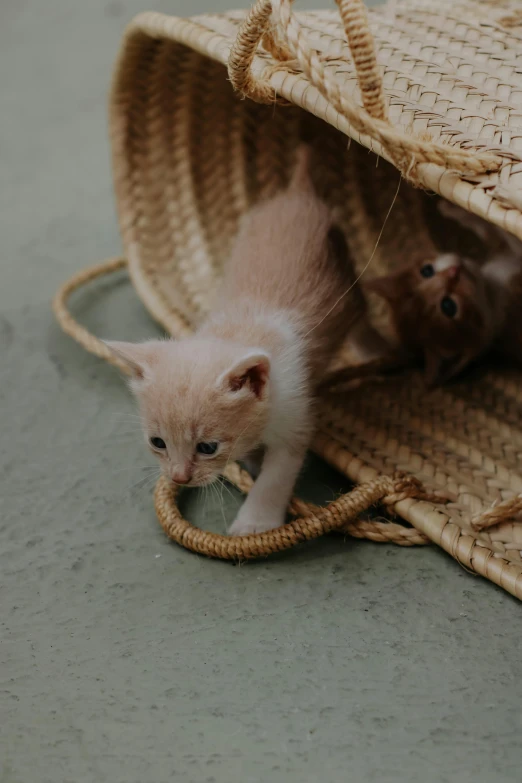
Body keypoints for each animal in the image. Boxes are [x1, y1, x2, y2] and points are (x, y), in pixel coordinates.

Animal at [106, 147, 382, 536]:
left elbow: (278, 474)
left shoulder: (296, 408)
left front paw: (256, 520)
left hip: (347, 284)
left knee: (361, 312)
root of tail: (296, 193)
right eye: (157, 442)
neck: (239, 328)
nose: (179, 477)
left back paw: (376, 348)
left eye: (207, 447)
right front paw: (252, 459)